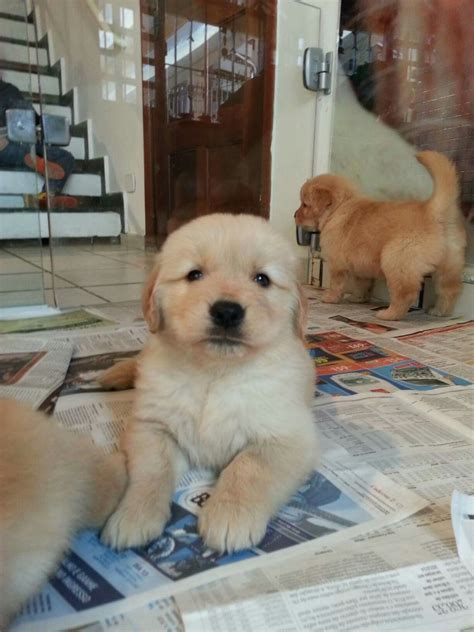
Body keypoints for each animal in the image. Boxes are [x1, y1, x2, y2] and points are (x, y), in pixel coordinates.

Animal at [100, 212, 318, 552]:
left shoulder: (289, 436)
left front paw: (229, 515)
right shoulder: (151, 426)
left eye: (262, 279)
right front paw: (133, 515)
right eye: (194, 274)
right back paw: (113, 375)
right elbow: (151, 471)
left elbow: (249, 467)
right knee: (136, 361)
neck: (216, 372)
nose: (227, 312)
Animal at [294, 149, 464, 320]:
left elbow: (336, 284)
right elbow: (363, 284)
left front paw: (329, 298)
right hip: (449, 265)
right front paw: (358, 298)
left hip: (396, 260)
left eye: (305, 205)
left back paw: (389, 314)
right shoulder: (361, 266)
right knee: (450, 290)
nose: (294, 215)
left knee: (406, 293)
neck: (339, 209)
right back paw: (440, 311)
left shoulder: (337, 264)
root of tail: (432, 211)